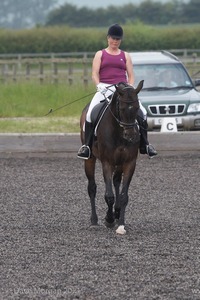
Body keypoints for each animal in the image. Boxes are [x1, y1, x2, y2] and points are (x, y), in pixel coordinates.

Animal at [79, 80, 144, 234]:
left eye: (137, 107)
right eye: (121, 108)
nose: (131, 136)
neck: (119, 131)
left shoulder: (129, 162)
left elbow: (124, 195)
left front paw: (120, 224)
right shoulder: (107, 162)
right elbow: (109, 195)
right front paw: (108, 219)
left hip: (119, 162)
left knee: (116, 181)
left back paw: (117, 212)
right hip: (90, 159)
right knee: (92, 187)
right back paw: (94, 221)